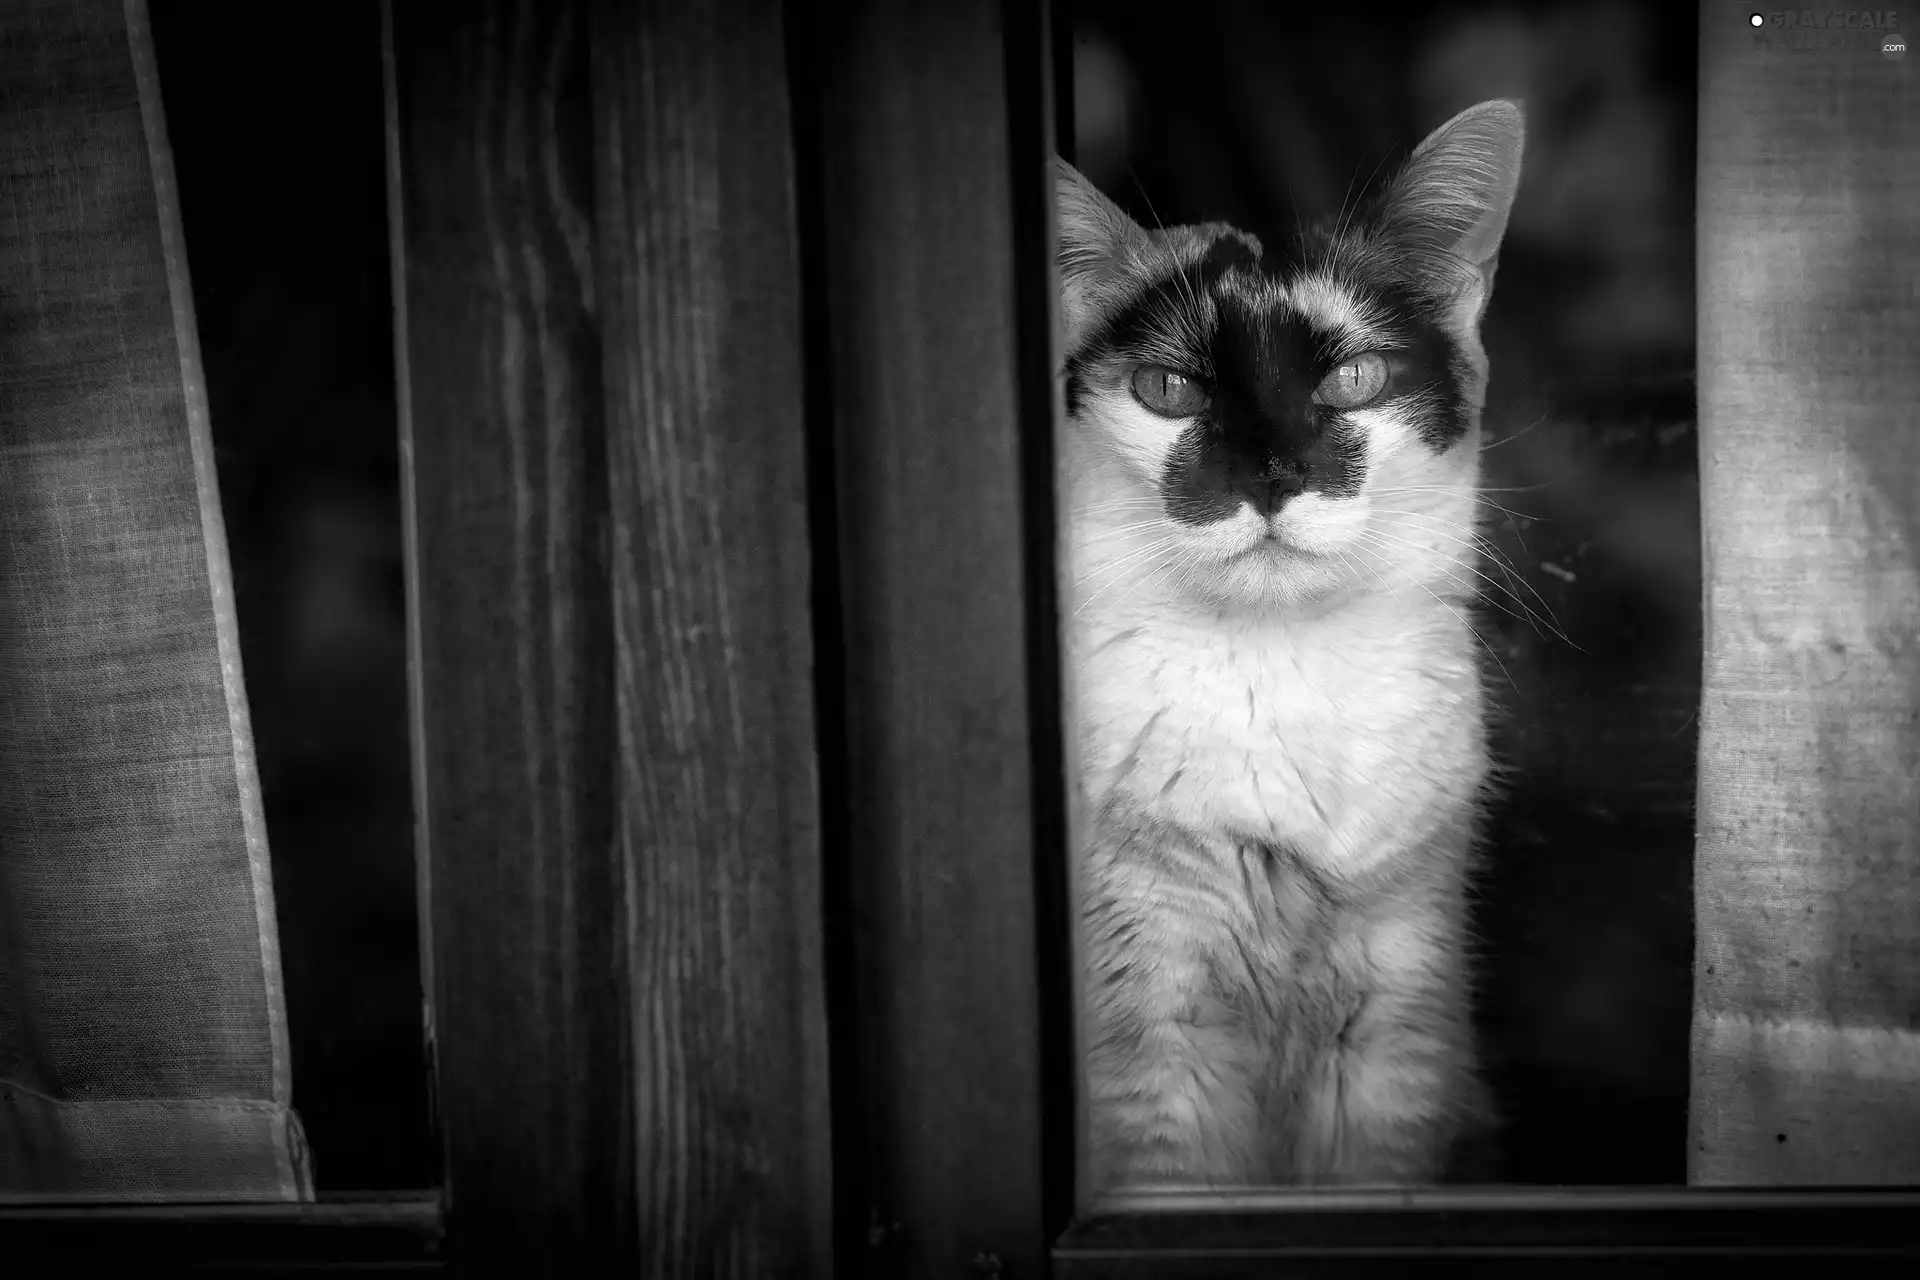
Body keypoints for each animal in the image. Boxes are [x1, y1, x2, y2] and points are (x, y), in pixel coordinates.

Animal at [1059, 100, 1520, 1189]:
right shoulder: (1151, 1036)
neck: (1280, 674)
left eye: (1355, 378)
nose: (1272, 476)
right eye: (1168, 390)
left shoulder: (1400, 1016)